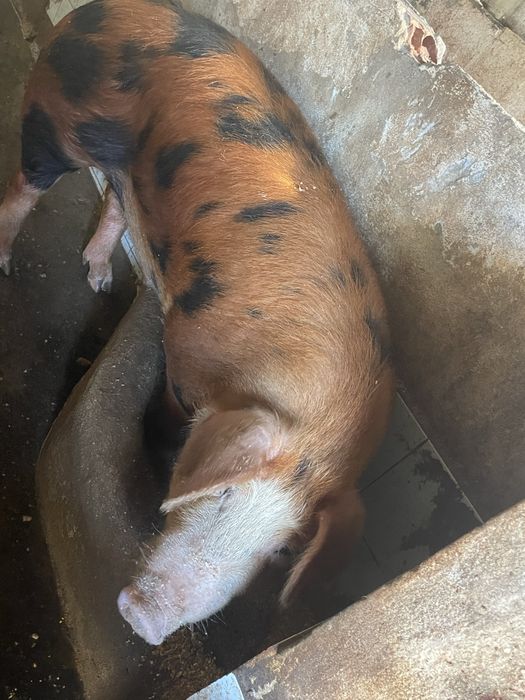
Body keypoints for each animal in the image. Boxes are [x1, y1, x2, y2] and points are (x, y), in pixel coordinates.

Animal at [0, 0, 394, 645]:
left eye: (282, 550)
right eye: (223, 492)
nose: (146, 618)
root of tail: (92, 12)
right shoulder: (183, 366)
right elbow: (167, 421)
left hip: (123, 169)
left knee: (116, 199)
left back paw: (99, 278)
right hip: (53, 125)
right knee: (23, 188)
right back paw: (6, 262)